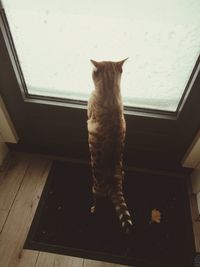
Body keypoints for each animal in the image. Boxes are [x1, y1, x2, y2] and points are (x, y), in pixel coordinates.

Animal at [86, 59, 133, 234]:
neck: (110, 92)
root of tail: (114, 180)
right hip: (122, 172)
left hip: (95, 188)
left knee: (98, 201)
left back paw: (94, 209)